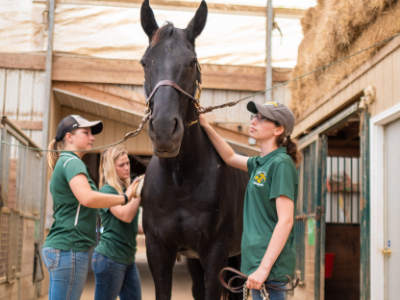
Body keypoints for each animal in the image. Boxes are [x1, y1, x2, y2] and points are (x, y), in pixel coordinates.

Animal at [140, 1, 247, 298]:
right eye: (145, 62)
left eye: (192, 61)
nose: (164, 129)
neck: (180, 179)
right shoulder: (158, 252)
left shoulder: (216, 253)